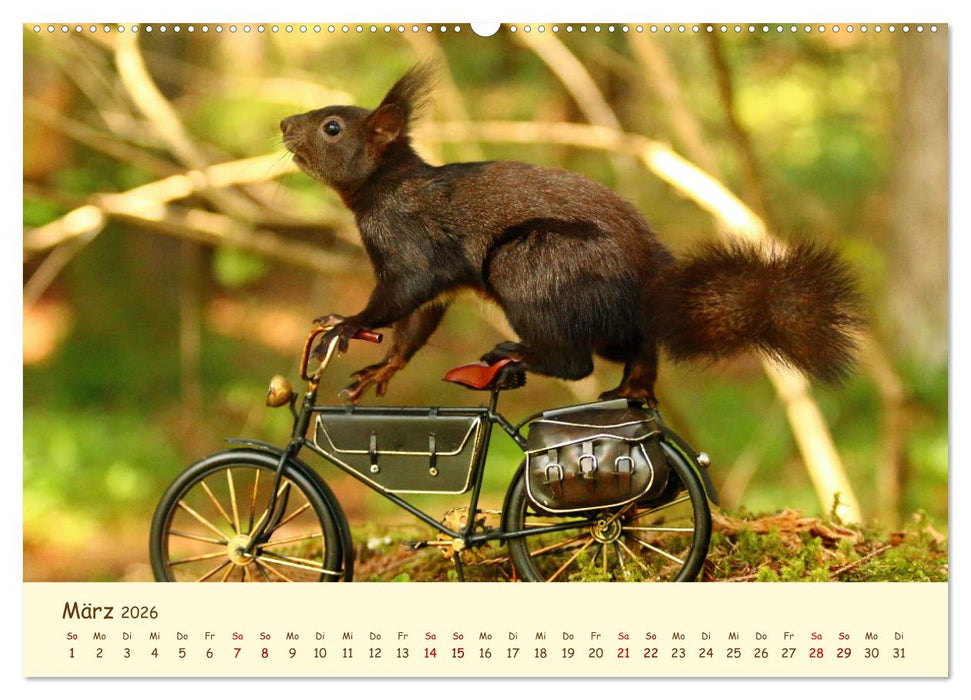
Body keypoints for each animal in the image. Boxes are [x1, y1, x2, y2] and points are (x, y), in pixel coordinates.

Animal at [280, 64, 861, 407]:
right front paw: (383, 367)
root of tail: (652, 285)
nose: (284, 124)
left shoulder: (411, 244)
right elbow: (416, 324)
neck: (383, 186)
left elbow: (400, 297)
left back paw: (523, 354)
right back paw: (635, 384)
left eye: (332, 127)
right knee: (636, 349)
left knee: (574, 363)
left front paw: (347, 323)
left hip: (534, 264)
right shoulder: (432, 281)